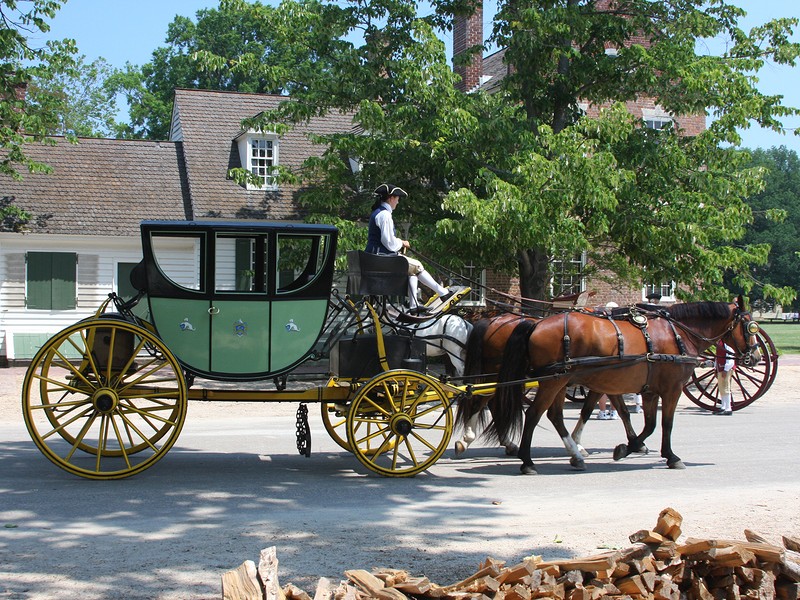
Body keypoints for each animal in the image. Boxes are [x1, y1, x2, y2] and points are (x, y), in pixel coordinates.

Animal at [490, 298, 760, 476]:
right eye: (750, 326)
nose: (756, 357)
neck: (678, 334)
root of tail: (537, 324)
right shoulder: (671, 389)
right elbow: (666, 424)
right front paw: (671, 457)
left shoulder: (649, 391)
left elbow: (648, 424)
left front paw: (626, 448)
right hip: (553, 381)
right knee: (533, 414)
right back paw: (527, 461)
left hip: (560, 380)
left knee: (554, 415)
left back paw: (573, 455)